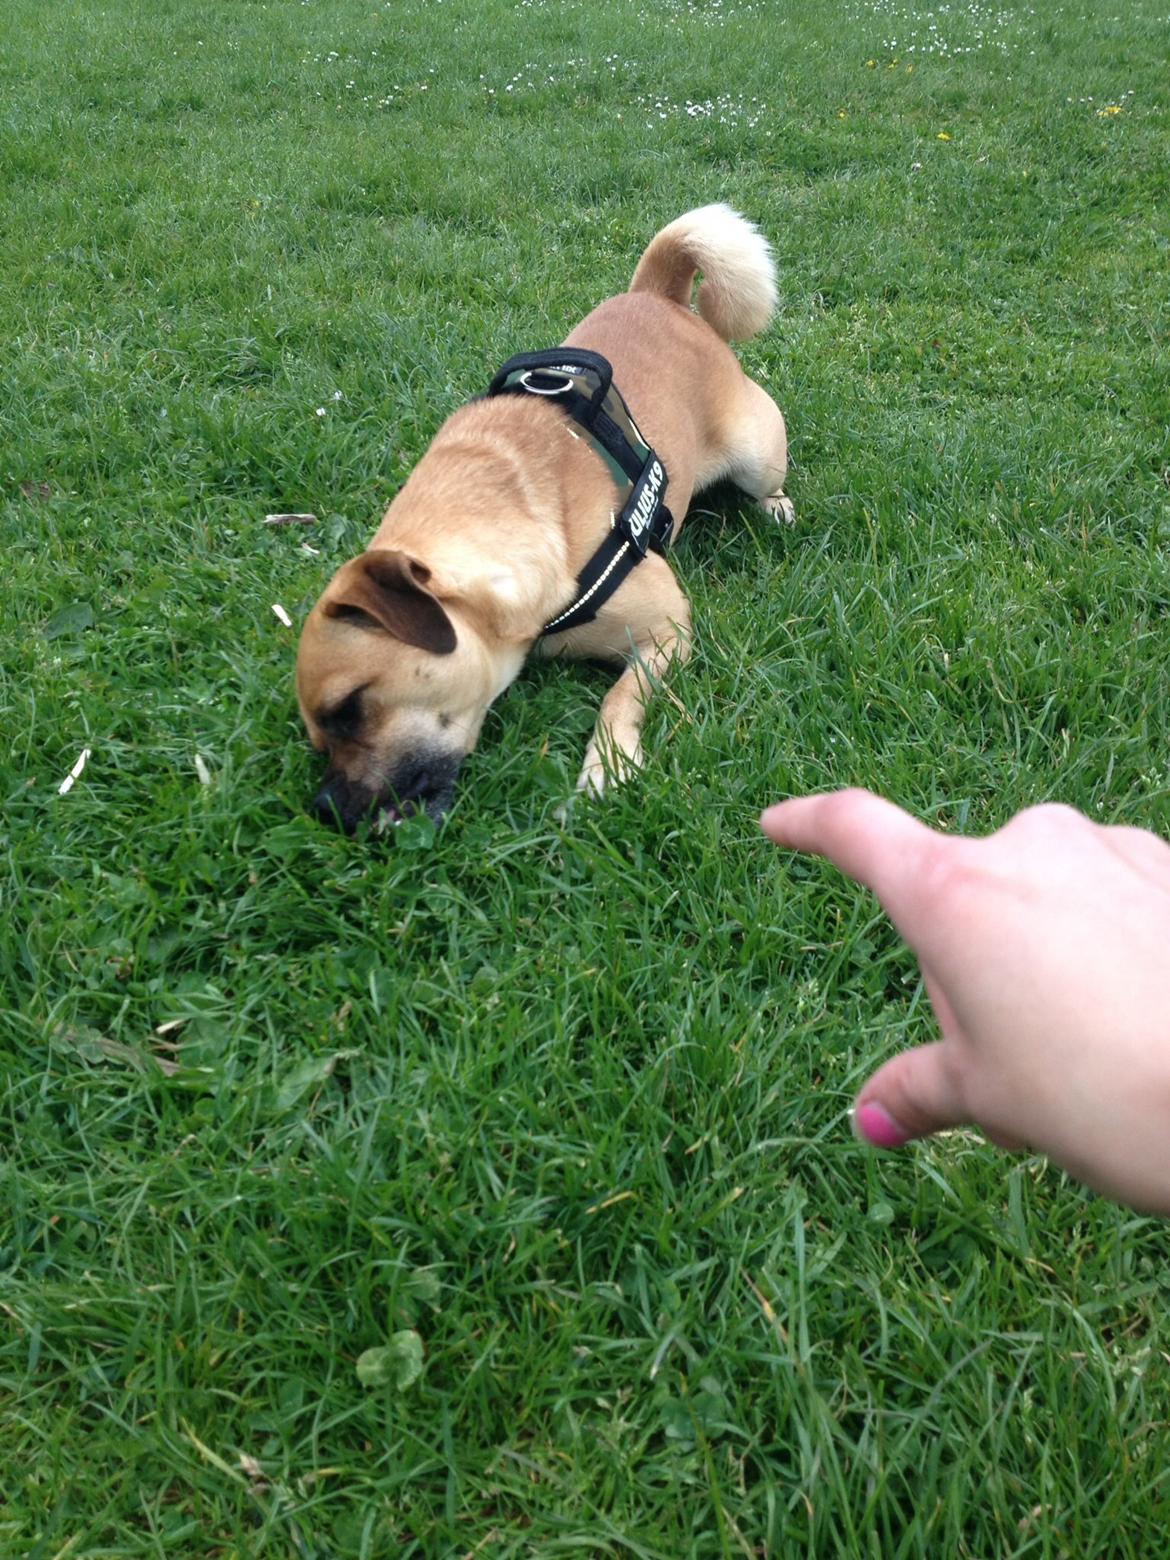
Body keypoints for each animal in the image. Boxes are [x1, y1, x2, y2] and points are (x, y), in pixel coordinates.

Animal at [297, 204, 792, 829]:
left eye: (350, 708)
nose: (325, 809)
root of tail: (658, 294)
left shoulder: (668, 629)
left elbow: (621, 695)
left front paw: (607, 766)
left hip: (758, 456)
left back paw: (775, 506)